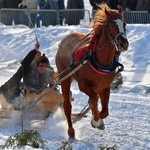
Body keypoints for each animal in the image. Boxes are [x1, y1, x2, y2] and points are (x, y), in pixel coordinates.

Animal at [55, 3, 128, 139]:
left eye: (124, 24)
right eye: (110, 25)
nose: (123, 43)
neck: (100, 60)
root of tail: (64, 40)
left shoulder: (105, 86)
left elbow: (105, 110)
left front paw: (98, 118)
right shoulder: (83, 84)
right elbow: (93, 98)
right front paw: (96, 121)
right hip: (65, 77)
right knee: (67, 106)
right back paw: (71, 131)